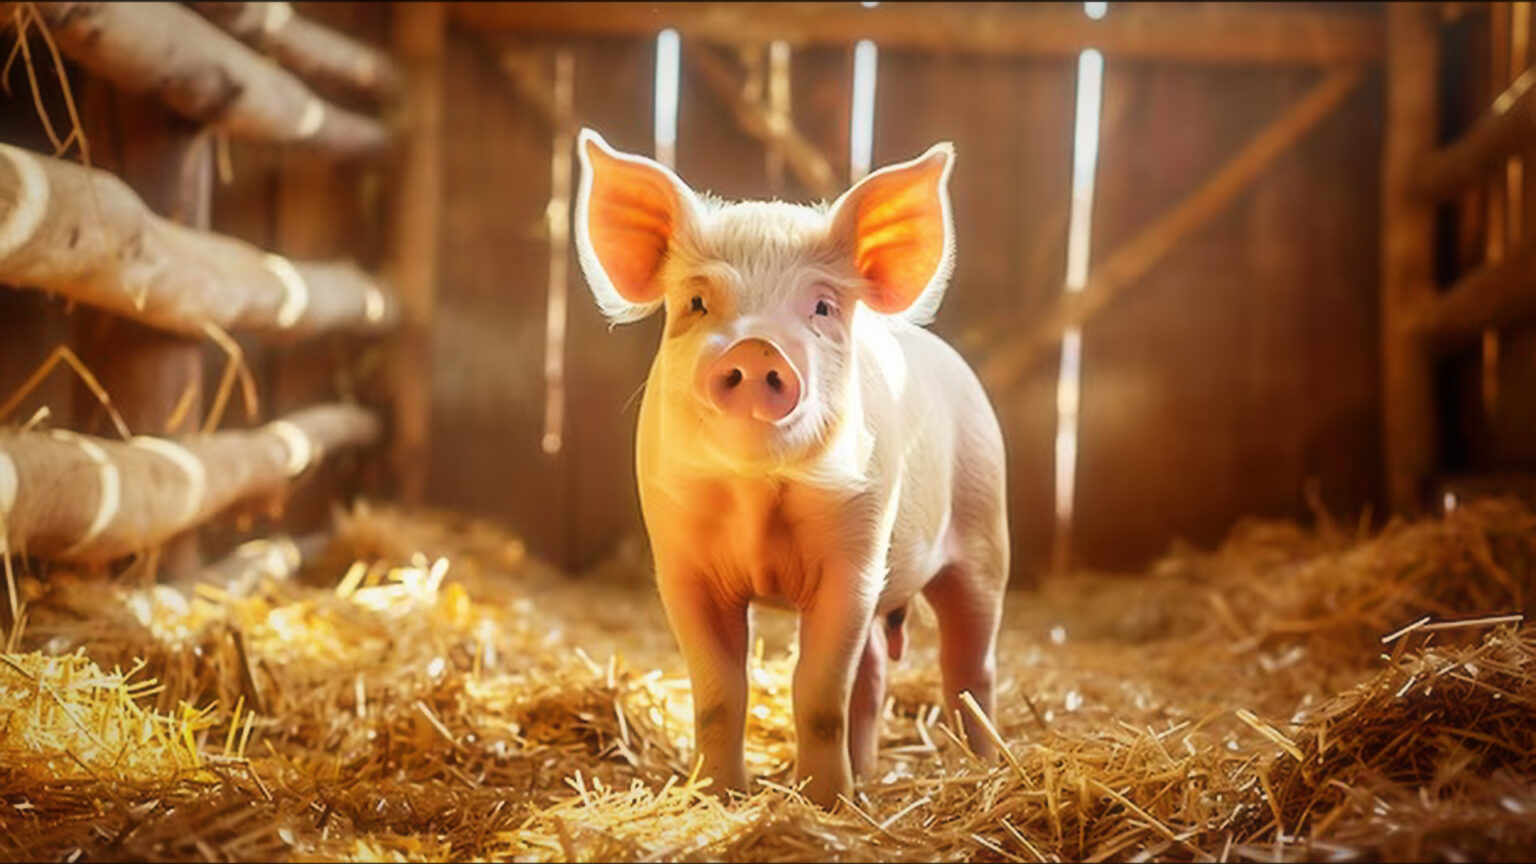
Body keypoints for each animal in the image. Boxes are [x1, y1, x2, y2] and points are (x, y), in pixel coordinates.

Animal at [572, 128, 1009, 810]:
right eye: (696, 301)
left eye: (823, 307)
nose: (756, 347)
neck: (756, 497)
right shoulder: (680, 563)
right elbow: (719, 695)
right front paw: (716, 797)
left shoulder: (857, 558)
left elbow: (818, 693)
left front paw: (824, 803)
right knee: (876, 672)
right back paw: (869, 775)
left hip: (986, 534)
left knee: (970, 668)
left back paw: (982, 768)